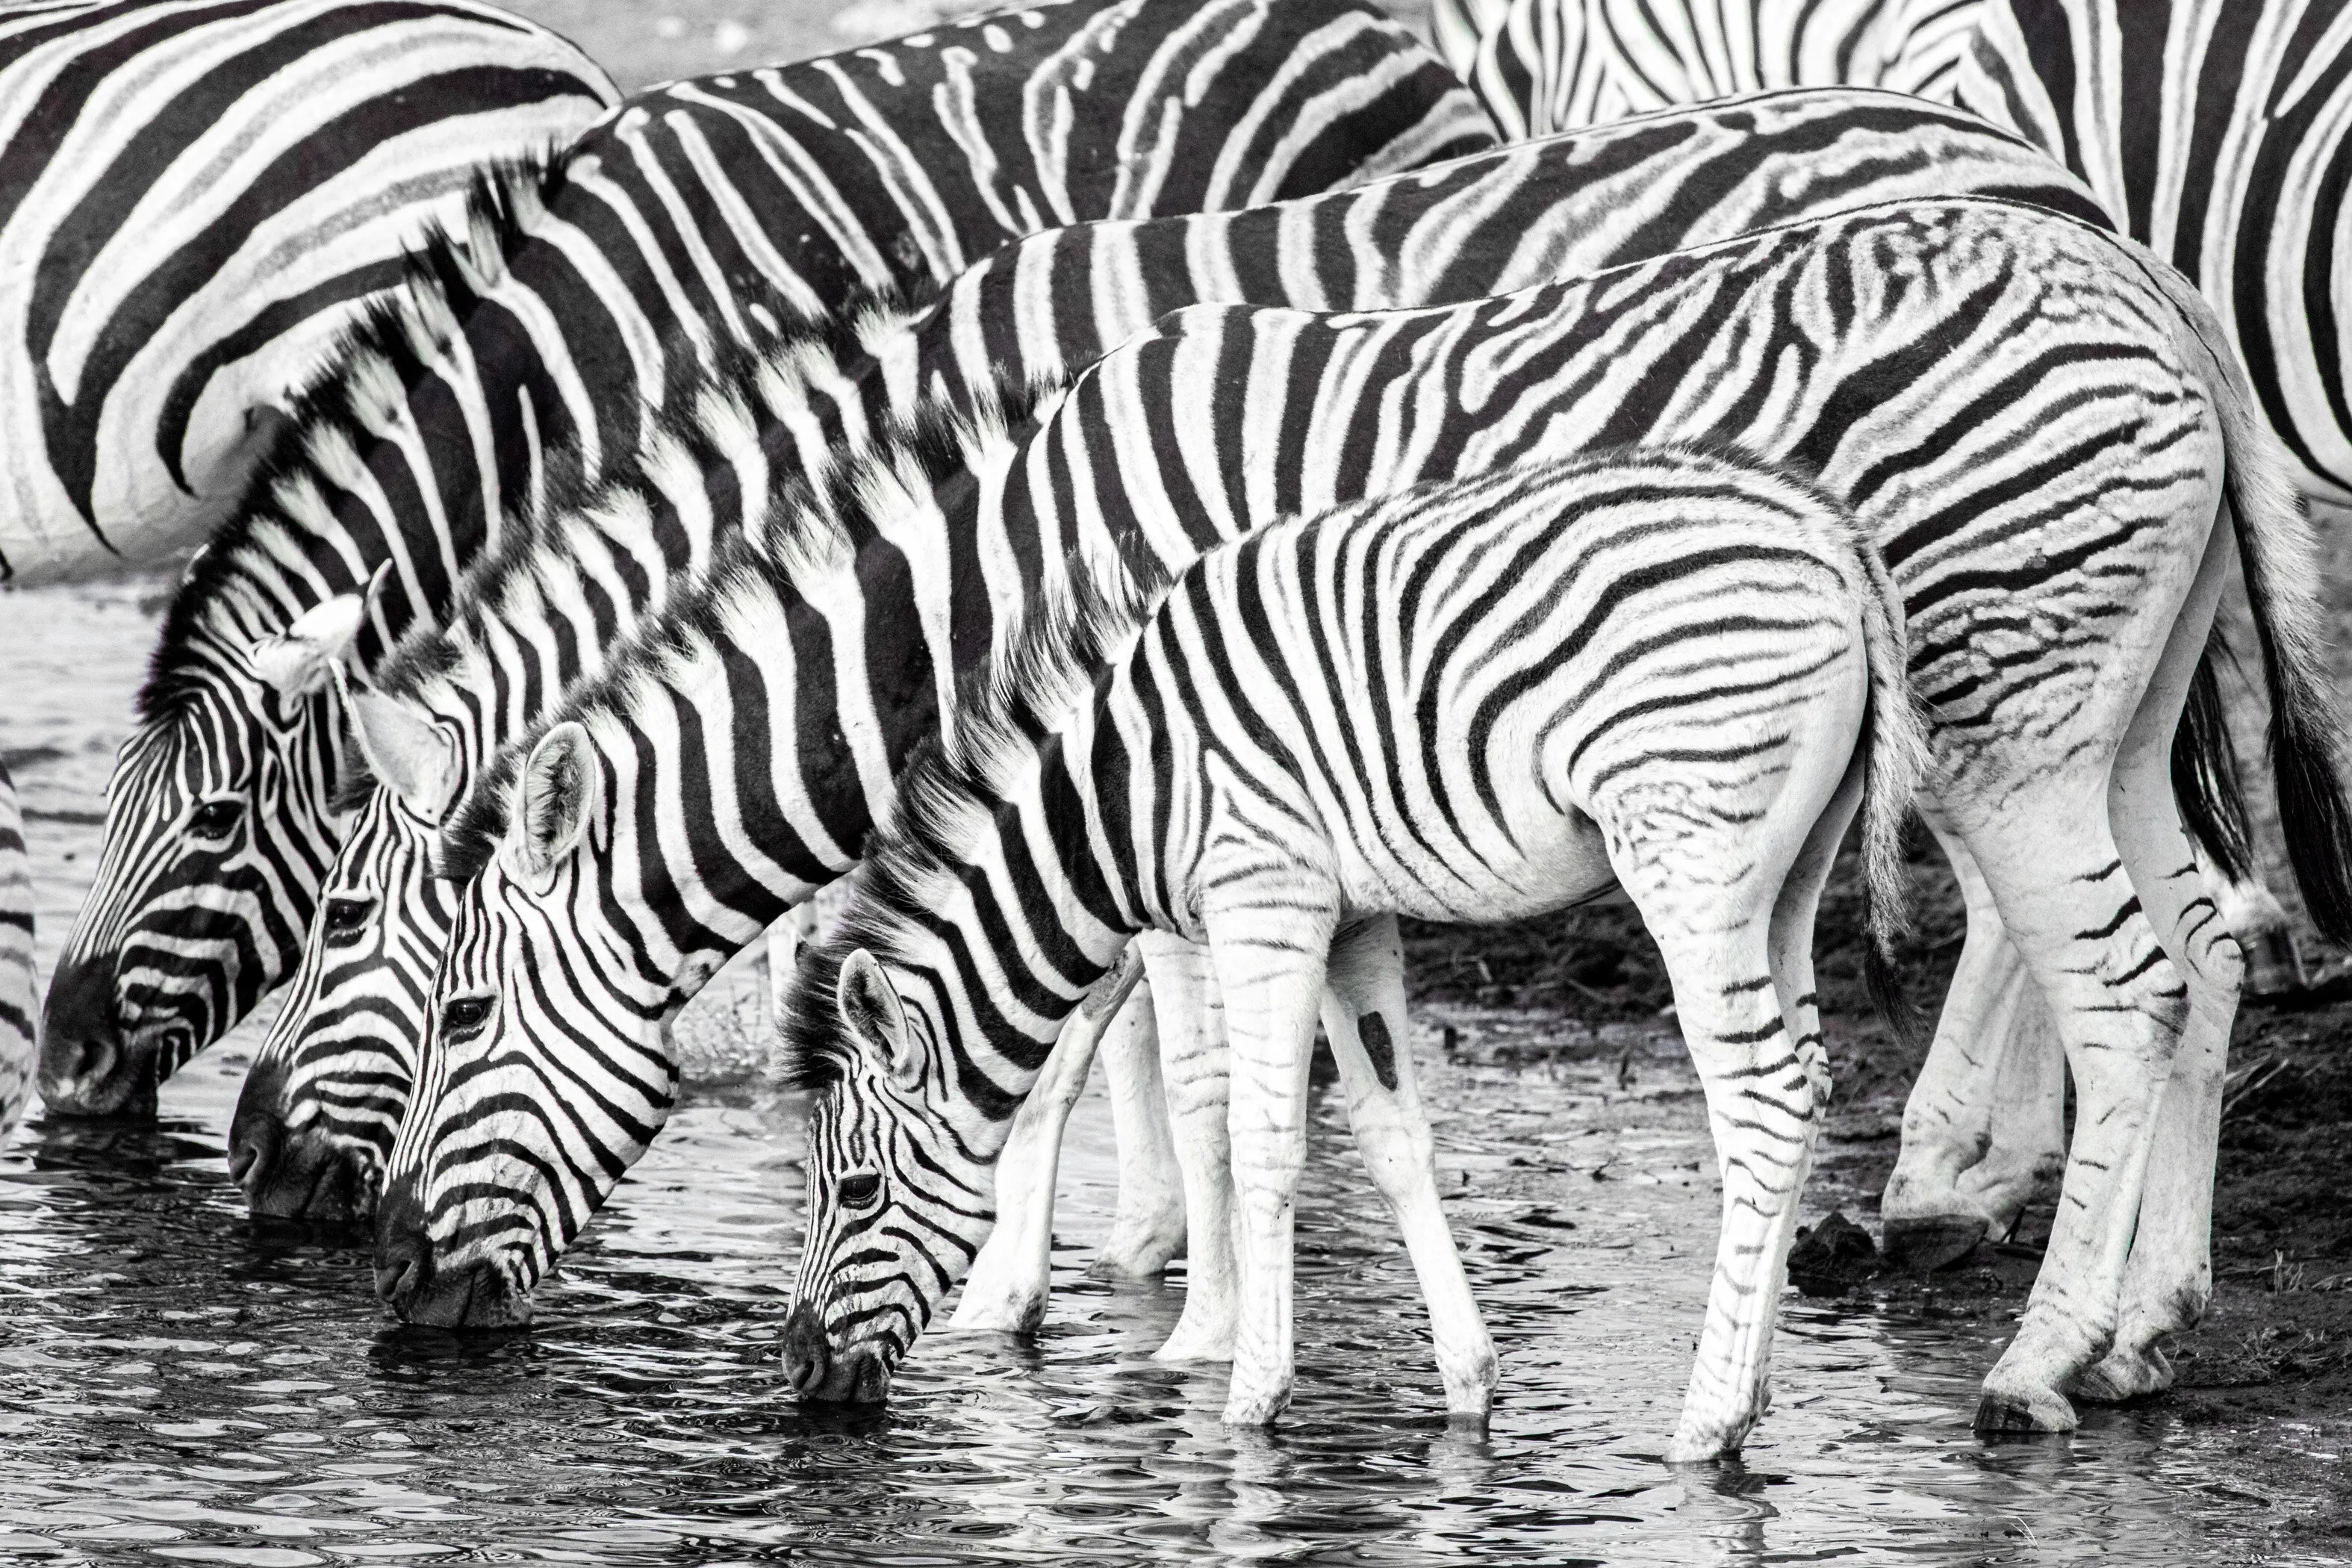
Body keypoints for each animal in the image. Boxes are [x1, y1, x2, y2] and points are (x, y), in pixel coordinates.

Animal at [230, 88, 2112, 1224]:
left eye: (371, 935)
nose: (264, 1176)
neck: (979, 507)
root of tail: (2036, 169)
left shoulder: (1147, 722)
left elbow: (1113, 1019)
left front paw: (1076, 1278)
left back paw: (1970, 1195)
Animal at [770, 448, 1924, 1458]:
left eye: (857, 1191)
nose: (795, 1371)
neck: (1123, 795)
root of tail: (1830, 534)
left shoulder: (1265, 898)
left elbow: (1264, 1141)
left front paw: (1246, 1410)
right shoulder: (1350, 921)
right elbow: (1389, 1136)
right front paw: (1468, 1389)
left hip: (1687, 857)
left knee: (1762, 1101)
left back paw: (1704, 1427)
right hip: (1790, 873)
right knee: (1809, 1083)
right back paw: (1751, 1396)